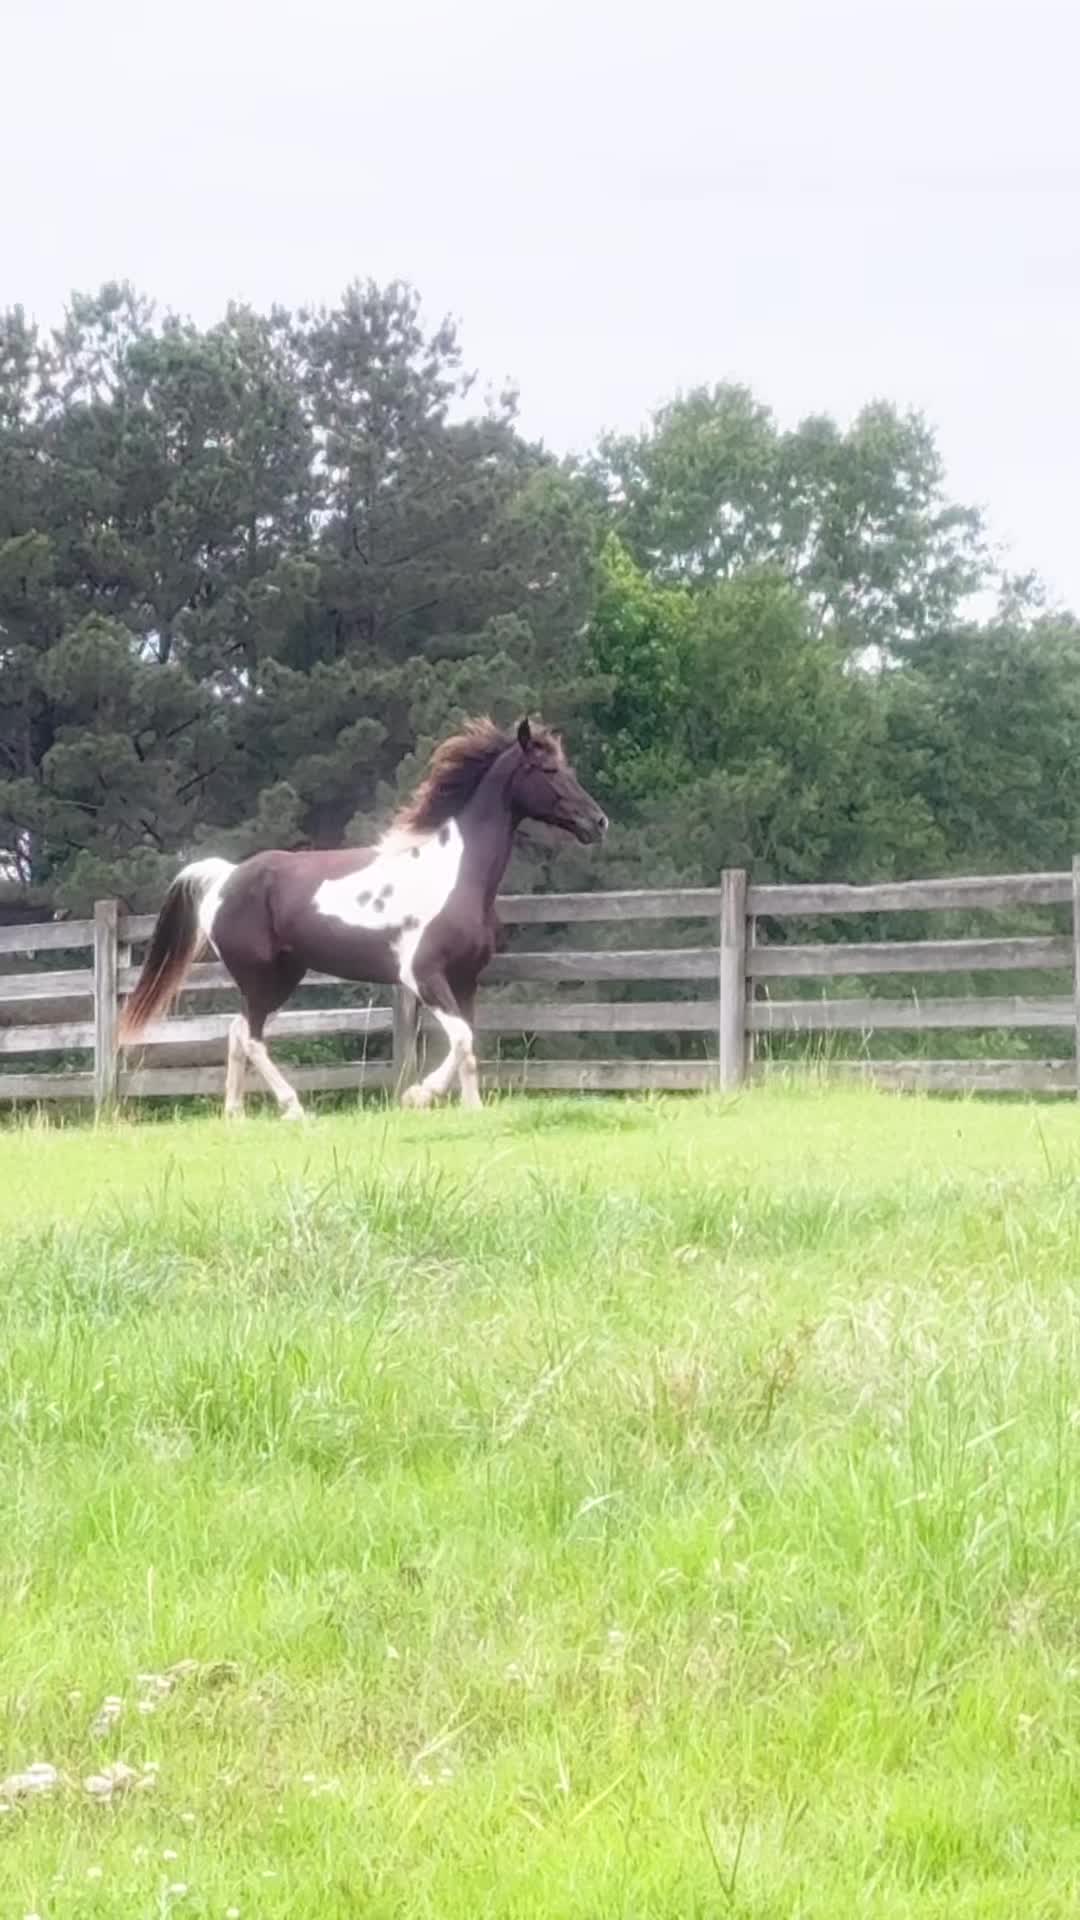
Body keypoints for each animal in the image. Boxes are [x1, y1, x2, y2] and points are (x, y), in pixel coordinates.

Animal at [118, 717, 607, 1118]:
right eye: (548, 770)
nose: (598, 822)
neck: (454, 874)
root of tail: (225, 877)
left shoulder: (465, 978)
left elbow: (467, 1043)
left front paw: (471, 1109)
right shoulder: (422, 976)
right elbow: (462, 1040)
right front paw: (418, 1096)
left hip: (281, 977)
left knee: (237, 1033)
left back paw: (235, 1114)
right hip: (260, 978)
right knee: (252, 1037)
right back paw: (293, 1109)